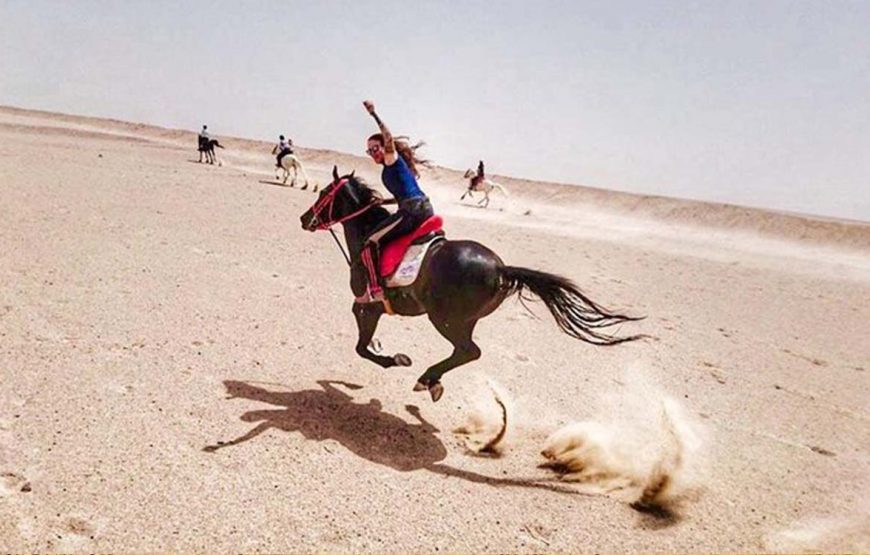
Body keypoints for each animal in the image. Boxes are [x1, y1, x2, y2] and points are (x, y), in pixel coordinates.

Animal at [299, 167, 644, 402]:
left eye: (323, 193)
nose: (304, 219)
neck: (367, 233)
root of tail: (501, 268)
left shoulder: (367, 305)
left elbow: (361, 347)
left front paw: (392, 358)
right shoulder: (374, 308)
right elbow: (364, 343)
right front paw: (383, 349)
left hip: (444, 318)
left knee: (469, 351)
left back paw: (427, 377)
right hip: (465, 320)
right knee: (466, 352)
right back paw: (432, 381)